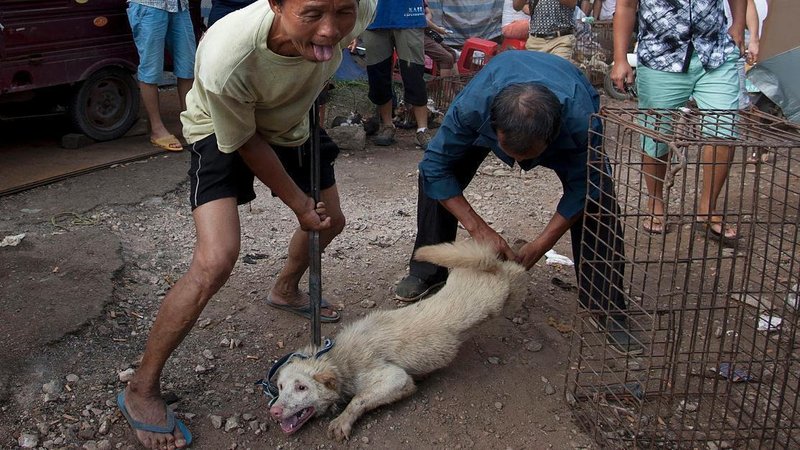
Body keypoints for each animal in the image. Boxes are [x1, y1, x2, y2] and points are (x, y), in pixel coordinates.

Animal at [260, 241, 524, 442]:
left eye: (302, 387)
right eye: (280, 387)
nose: (274, 411)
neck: (339, 359)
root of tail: (488, 267)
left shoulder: (396, 378)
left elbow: (359, 399)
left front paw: (342, 421)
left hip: (496, 298)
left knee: (515, 270)